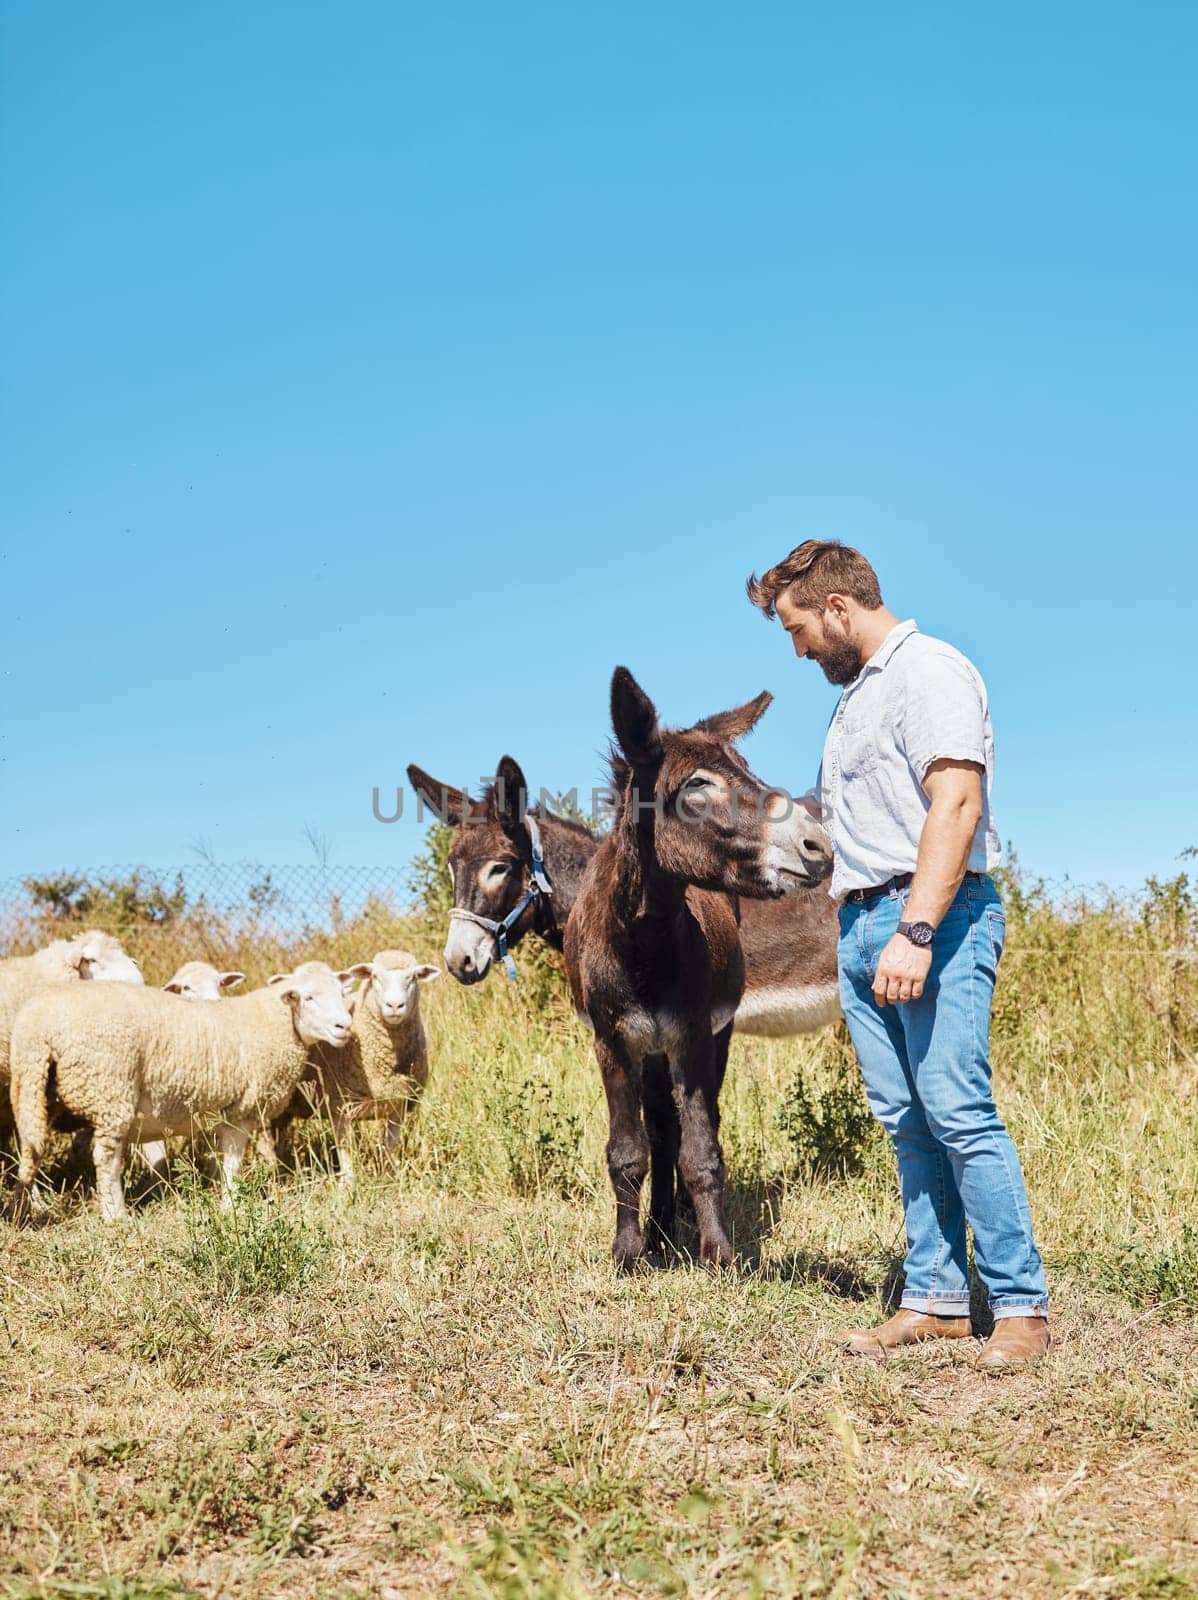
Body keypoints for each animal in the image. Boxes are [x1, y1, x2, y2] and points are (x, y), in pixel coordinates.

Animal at [10, 953, 364, 1216]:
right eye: (308, 997)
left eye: (341, 993)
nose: (344, 1026)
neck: (271, 1021)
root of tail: (38, 1026)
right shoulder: (241, 1112)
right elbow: (233, 1163)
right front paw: (231, 1207)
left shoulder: (223, 1113)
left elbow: (222, 1161)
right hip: (110, 1090)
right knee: (106, 1159)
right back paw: (116, 1215)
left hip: (33, 1091)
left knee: (30, 1146)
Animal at [278, 947, 441, 1190]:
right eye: (375, 977)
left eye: (412, 977)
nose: (394, 1006)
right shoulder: (339, 1107)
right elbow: (346, 1155)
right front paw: (347, 1188)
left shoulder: (398, 1106)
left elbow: (390, 1147)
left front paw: (389, 1179)